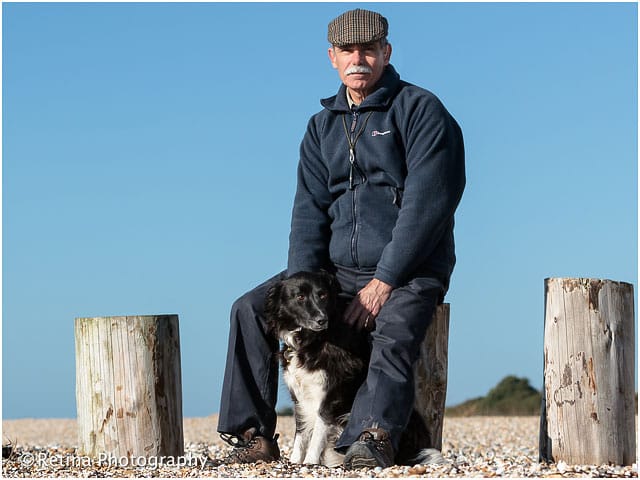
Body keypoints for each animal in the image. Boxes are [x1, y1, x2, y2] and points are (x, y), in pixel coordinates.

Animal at [264, 272, 440, 466]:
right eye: (300, 297)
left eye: (323, 295)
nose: (322, 319)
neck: (314, 340)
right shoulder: (299, 396)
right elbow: (301, 433)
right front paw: (295, 461)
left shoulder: (330, 396)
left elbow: (317, 433)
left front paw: (310, 462)